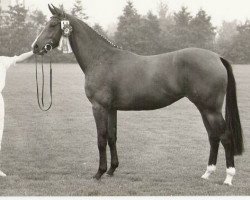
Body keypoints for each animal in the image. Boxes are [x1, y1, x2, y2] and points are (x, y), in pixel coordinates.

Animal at [32, 5, 243, 186]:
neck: (101, 59)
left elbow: (101, 138)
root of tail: (217, 57)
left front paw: (99, 173)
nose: (35, 47)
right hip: (204, 108)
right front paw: (111, 170)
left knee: (225, 136)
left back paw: (228, 177)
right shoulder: (112, 109)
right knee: (213, 137)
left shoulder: (99, 107)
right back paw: (207, 173)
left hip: (211, 109)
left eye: (52, 25)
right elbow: (112, 136)